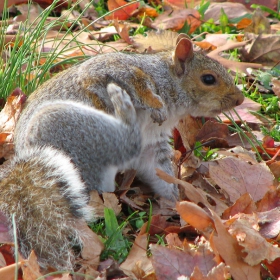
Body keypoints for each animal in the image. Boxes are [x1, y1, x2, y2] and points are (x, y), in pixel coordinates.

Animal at [14, 33, 244, 201]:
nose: (240, 99)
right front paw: (155, 103)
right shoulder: (115, 68)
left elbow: (158, 170)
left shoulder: (153, 142)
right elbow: (137, 83)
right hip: (73, 128)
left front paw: (176, 201)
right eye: (208, 79)